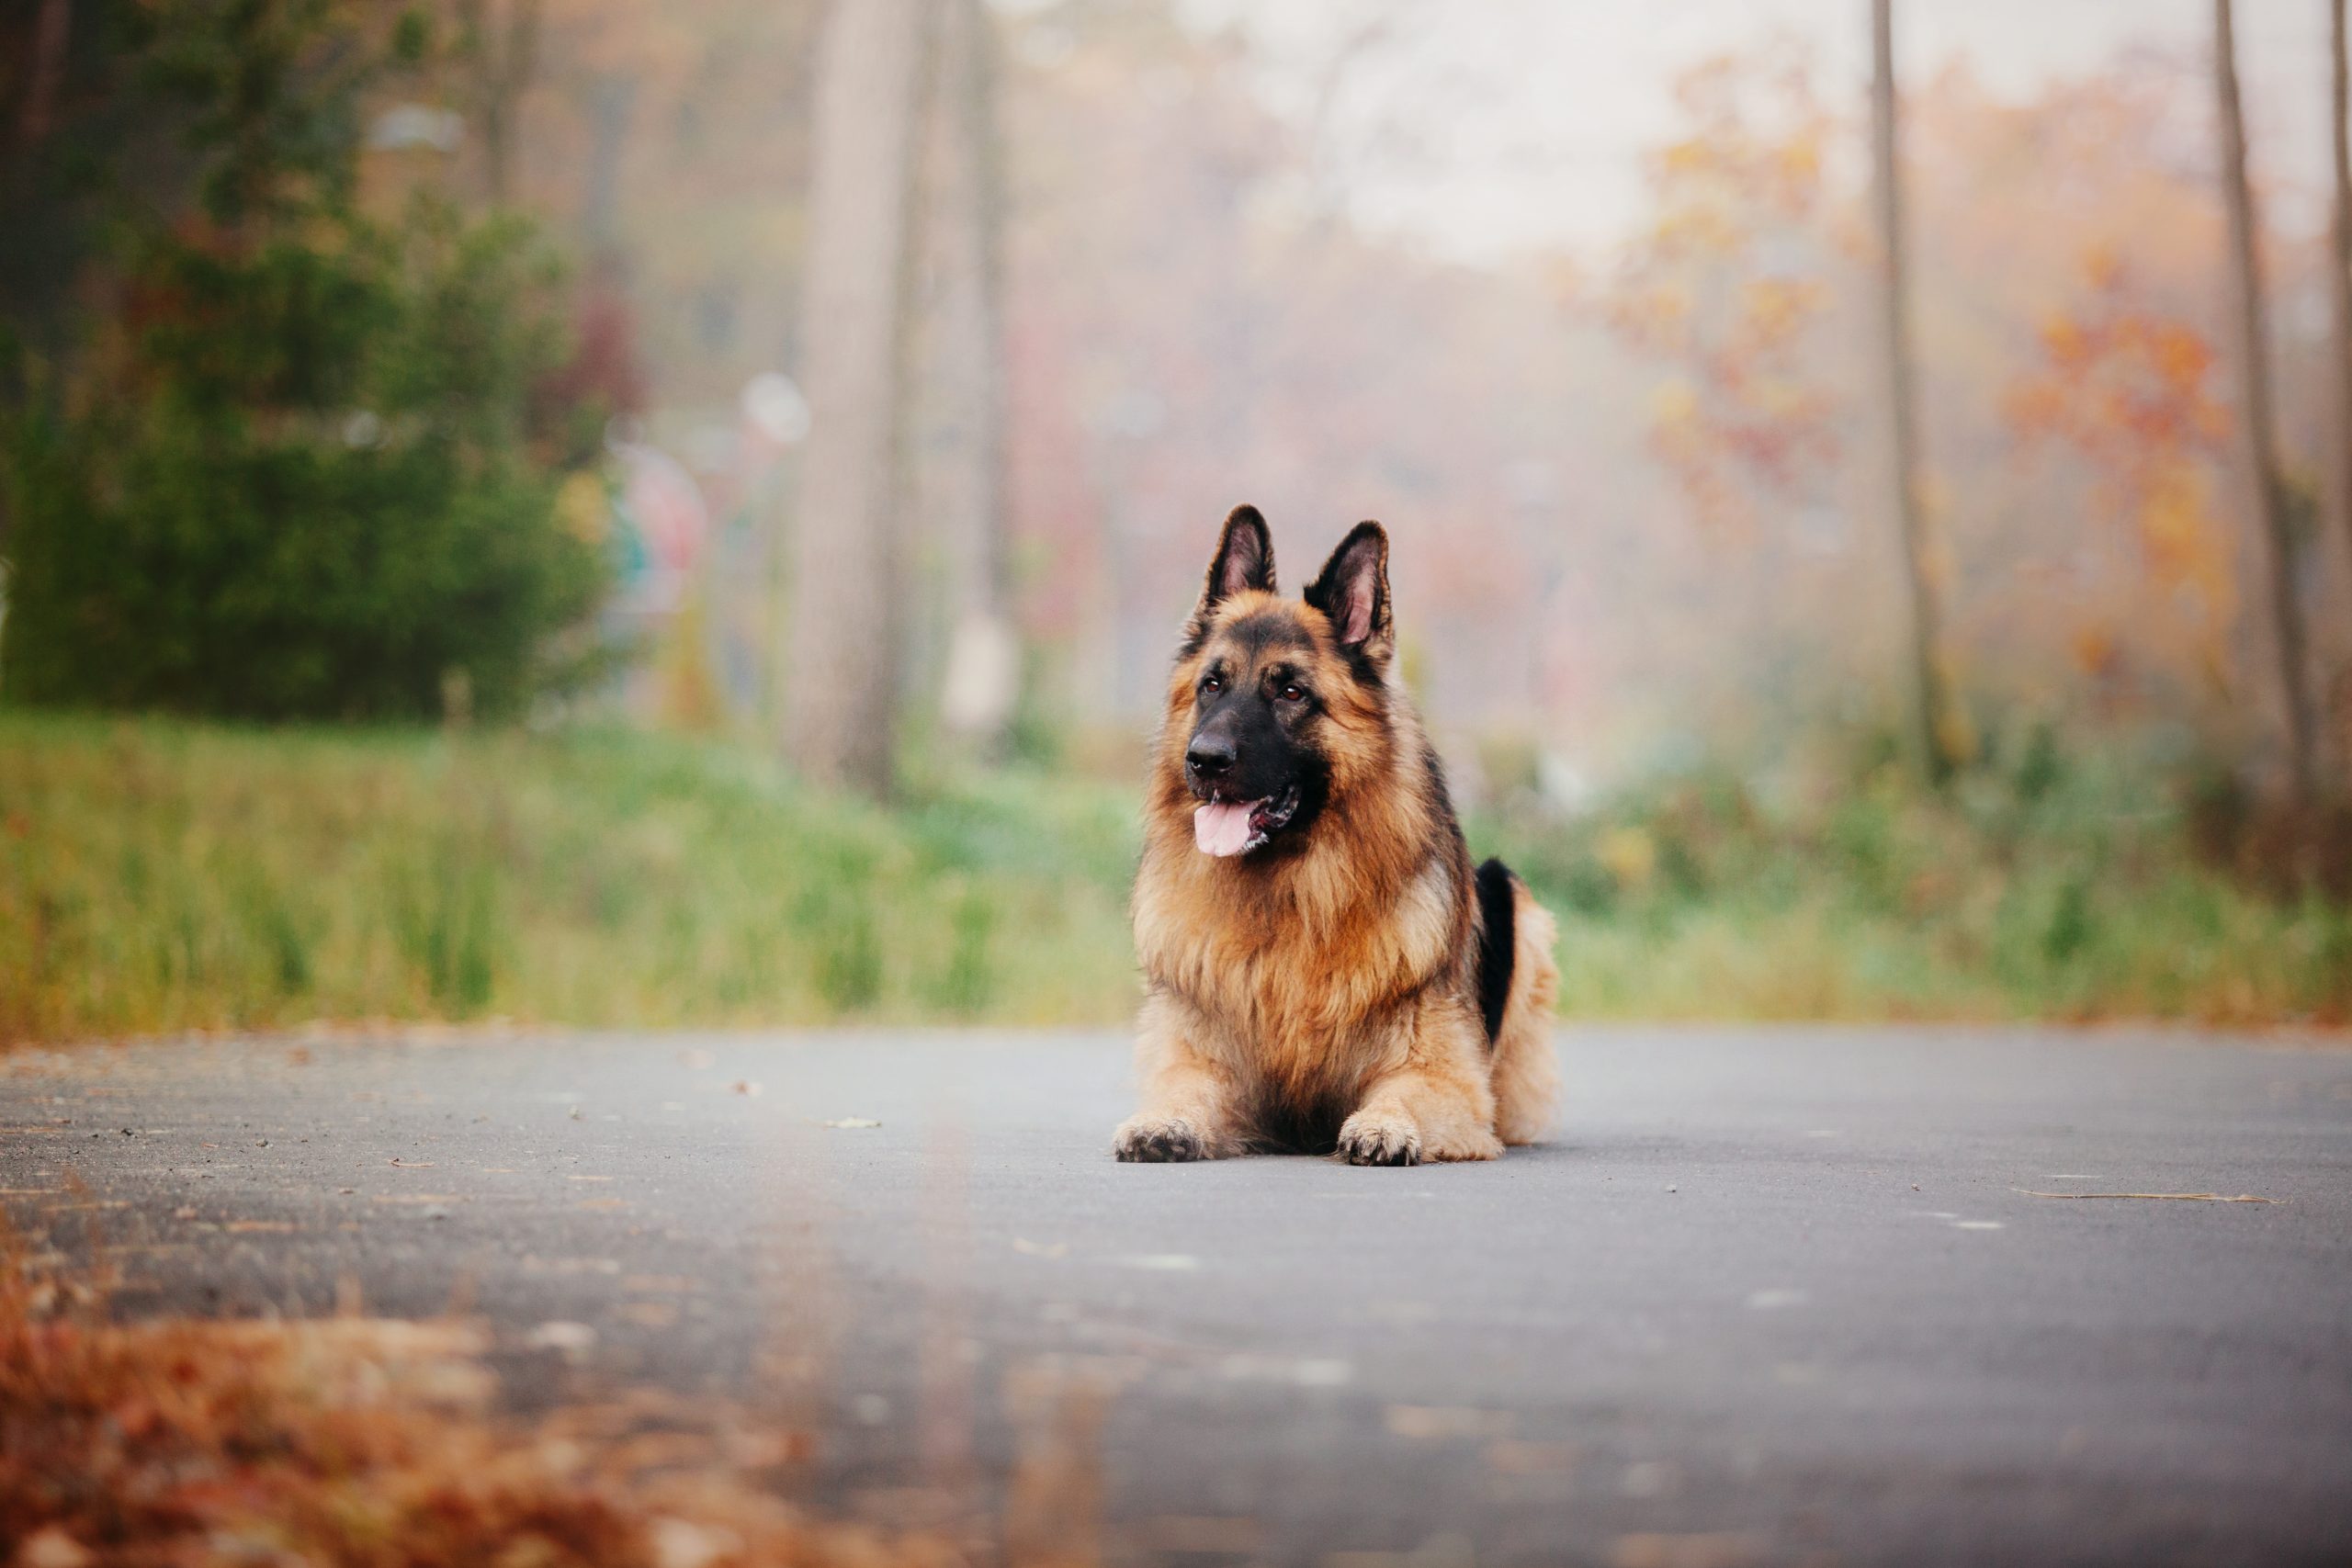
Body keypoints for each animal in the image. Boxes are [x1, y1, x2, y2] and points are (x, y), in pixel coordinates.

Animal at [1114, 505, 1561, 1166]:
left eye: (1291, 691)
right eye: (1212, 685)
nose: (1205, 759)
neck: (1290, 900)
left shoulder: (1443, 1079)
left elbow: (1402, 1095)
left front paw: (1384, 1125)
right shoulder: (1205, 1062)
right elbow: (1185, 1087)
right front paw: (1162, 1120)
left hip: (1510, 897)